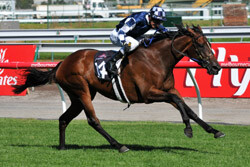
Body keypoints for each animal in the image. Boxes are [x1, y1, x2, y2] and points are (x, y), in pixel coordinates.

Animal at [13, 24, 225, 153]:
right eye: (200, 44)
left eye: (209, 43)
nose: (216, 67)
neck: (157, 59)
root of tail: (62, 63)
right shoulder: (149, 94)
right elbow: (179, 103)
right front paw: (188, 129)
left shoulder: (169, 90)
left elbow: (186, 106)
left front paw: (214, 130)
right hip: (81, 90)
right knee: (93, 120)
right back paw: (119, 145)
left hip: (78, 96)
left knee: (64, 118)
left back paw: (63, 147)